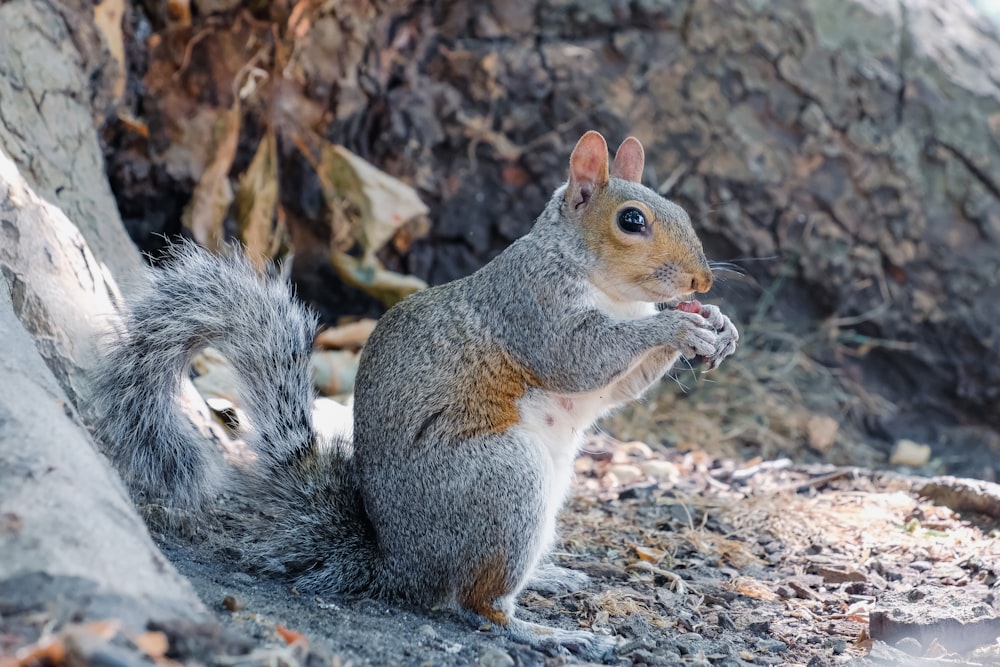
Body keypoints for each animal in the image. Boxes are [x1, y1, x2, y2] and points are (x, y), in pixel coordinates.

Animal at [92, 130, 736, 656]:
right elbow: (581, 360)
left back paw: (552, 577)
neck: (609, 291)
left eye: (679, 210)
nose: (702, 281)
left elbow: (619, 385)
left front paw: (716, 325)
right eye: (632, 221)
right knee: (476, 604)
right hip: (504, 481)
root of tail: (397, 565)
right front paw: (676, 328)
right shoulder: (532, 311)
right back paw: (548, 631)